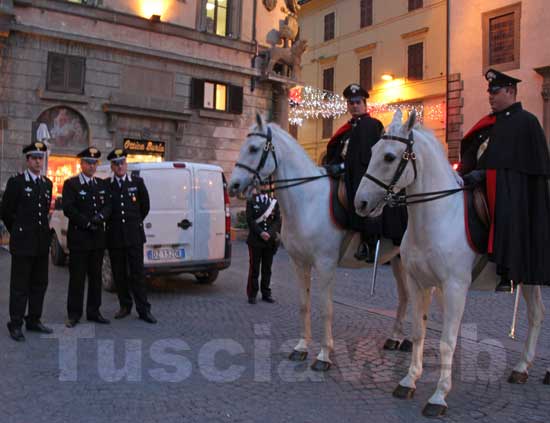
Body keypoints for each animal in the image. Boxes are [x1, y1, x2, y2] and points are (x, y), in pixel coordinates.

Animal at [230, 115, 414, 372]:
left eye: (254, 148)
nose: (233, 185)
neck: (307, 200)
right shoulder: (299, 263)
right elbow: (304, 305)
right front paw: (301, 348)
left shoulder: (326, 265)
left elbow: (326, 309)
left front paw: (324, 355)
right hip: (398, 259)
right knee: (405, 296)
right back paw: (396, 338)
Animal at [356, 109, 548, 418]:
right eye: (372, 151)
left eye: (389, 156)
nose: (360, 202)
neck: (436, 216)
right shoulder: (418, 283)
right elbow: (419, 332)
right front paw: (409, 380)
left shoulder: (455, 287)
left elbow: (447, 340)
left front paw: (439, 395)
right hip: (529, 277)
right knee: (537, 314)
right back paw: (522, 367)